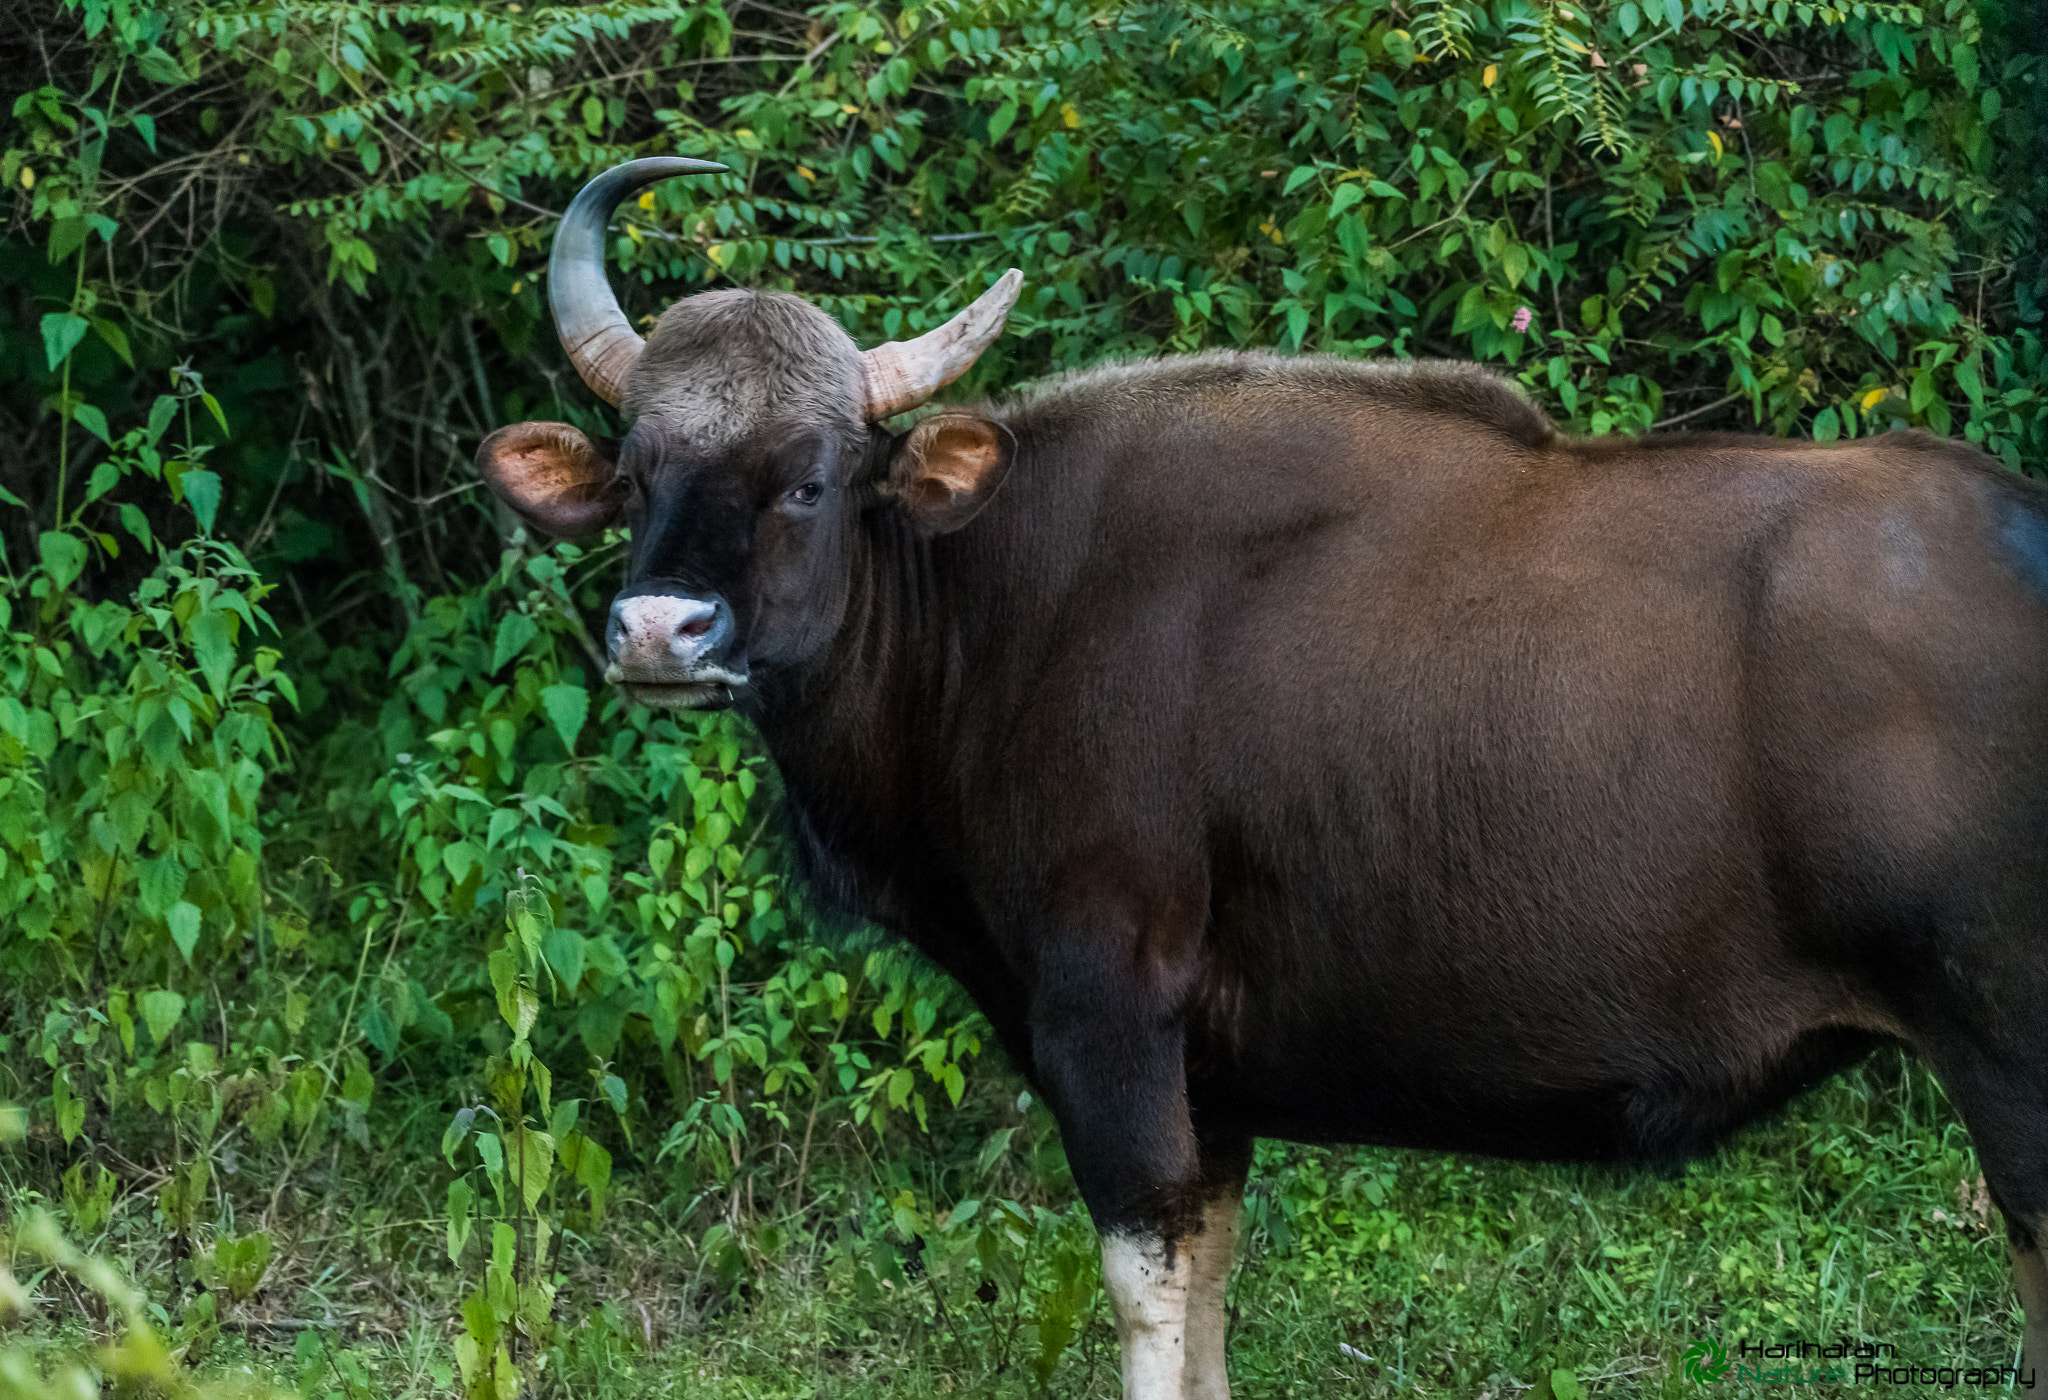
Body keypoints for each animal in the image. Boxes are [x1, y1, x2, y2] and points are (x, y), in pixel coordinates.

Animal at [478, 158, 2048, 1399]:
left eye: (809, 477)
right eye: (637, 471)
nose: (659, 632)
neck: (995, 611)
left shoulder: (1108, 1021)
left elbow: (1145, 1297)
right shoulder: (1210, 1083)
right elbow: (1215, 1295)